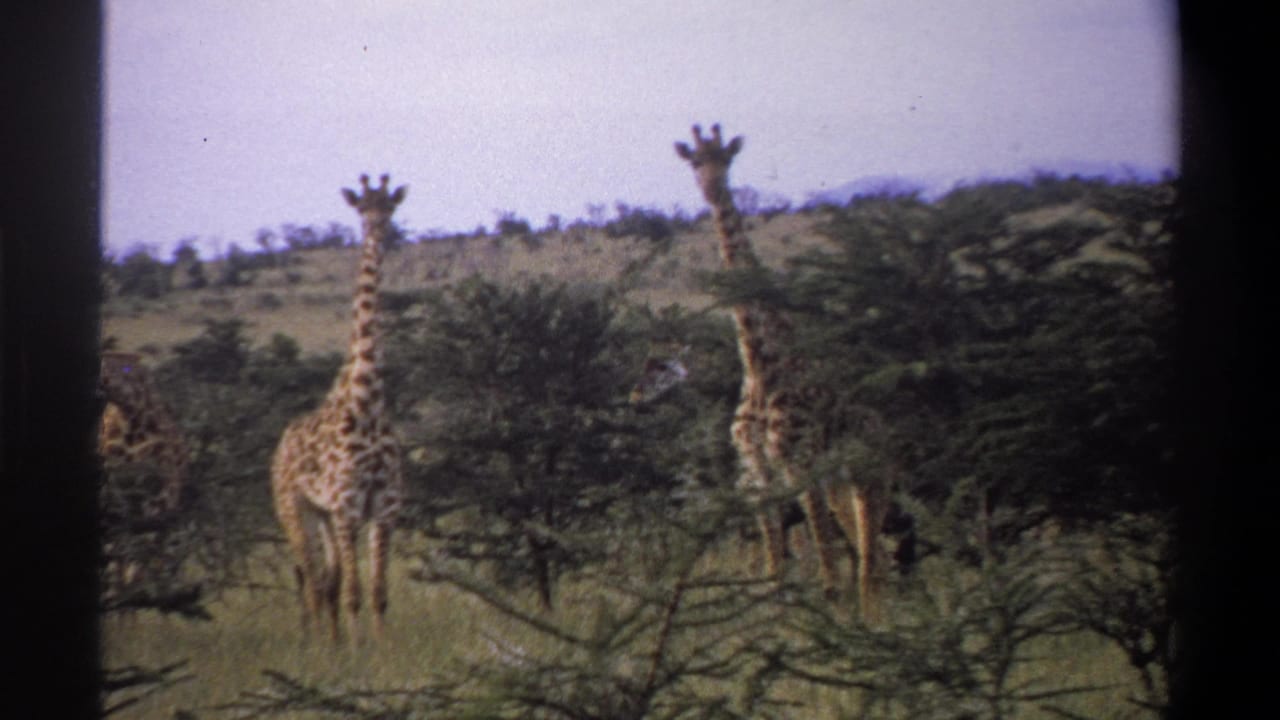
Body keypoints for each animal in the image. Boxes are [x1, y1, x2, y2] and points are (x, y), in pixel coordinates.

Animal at [270, 173, 406, 646]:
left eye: (390, 207)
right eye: (362, 209)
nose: (379, 230)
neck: (366, 402)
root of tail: (280, 445)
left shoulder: (384, 508)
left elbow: (378, 592)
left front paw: (381, 650)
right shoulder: (347, 506)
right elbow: (353, 592)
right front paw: (360, 652)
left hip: (325, 517)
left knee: (325, 582)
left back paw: (332, 644)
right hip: (296, 510)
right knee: (312, 582)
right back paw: (316, 647)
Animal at [675, 124, 891, 621]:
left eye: (727, 159)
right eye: (694, 161)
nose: (712, 189)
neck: (759, 361)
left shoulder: (798, 461)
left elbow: (825, 559)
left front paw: (829, 616)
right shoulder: (760, 475)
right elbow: (776, 566)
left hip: (869, 470)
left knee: (872, 553)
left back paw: (878, 618)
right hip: (839, 478)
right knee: (867, 549)